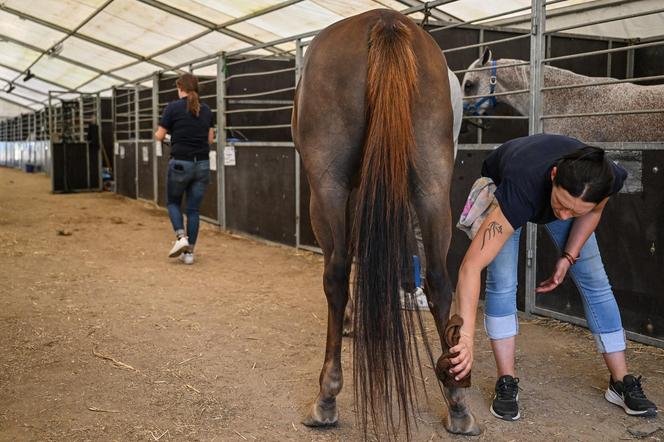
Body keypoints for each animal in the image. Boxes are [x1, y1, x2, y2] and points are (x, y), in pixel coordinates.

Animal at [294, 8, 480, 440]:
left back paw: (325, 399)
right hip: (431, 183)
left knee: (335, 273)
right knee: (438, 279)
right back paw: (457, 403)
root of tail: (385, 20)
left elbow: (347, 258)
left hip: (326, 186)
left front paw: (350, 321)